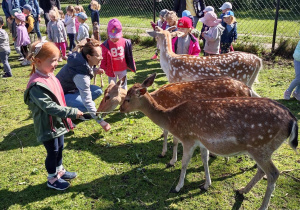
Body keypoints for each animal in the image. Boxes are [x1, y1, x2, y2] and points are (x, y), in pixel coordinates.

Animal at [98, 75, 253, 166]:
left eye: (107, 96)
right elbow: (165, 133)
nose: (98, 110)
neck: (159, 100)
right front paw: (163, 152)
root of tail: (248, 89)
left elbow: (173, 139)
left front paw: (172, 160)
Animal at [119, 73, 298, 210]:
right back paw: (242, 190)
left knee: (274, 173)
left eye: (128, 98)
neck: (171, 118)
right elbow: (204, 160)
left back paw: (262, 206)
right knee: (262, 171)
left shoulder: (188, 138)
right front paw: (206, 184)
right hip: (262, 149)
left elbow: (184, 163)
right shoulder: (202, 142)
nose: (120, 109)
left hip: (261, 146)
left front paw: (178, 186)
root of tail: (292, 120)